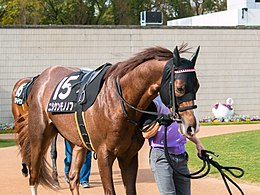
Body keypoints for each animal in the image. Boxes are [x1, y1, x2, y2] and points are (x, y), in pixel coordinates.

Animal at [16, 44, 201, 195]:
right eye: (180, 87)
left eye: (197, 86)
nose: (192, 126)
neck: (119, 102)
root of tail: (40, 78)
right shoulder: (104, 155)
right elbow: (109, 191)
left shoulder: (129, 156)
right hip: (39, 136)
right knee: (34, 176)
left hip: (78, 143)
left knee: (73, 177)